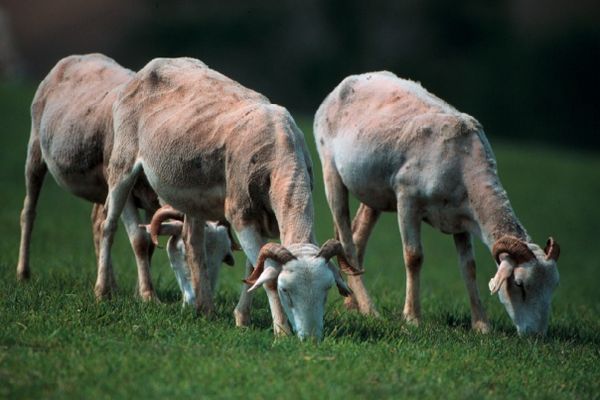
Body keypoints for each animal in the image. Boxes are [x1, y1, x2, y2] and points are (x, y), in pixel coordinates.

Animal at [95, 57, 360, 340]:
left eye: (326, 290)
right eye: (285, 291)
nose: (310, 339)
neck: (280, 148)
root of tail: (153, 65)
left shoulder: (263, 220)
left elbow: (254, 271)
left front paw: (242, 318)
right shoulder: (241, 215)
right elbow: (265, 276)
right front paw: (281, 331)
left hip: (191, 196)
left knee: (192, 242)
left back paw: (205, 309)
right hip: (122, 163)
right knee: (109, 225)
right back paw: (103, 292)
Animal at [316, 71, 560, 334]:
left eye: (554, 287)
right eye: (520, 284)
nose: (536, 335)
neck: (465, 165)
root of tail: (352, 79)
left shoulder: (461, 220)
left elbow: (469, 268)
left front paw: (481, 325)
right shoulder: (407, 199)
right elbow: (414, 257)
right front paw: (412, 318)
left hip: (374, 192)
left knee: (357, 239)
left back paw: (355, 305)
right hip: (331, 171)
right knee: (348, 243)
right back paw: (371, 310)